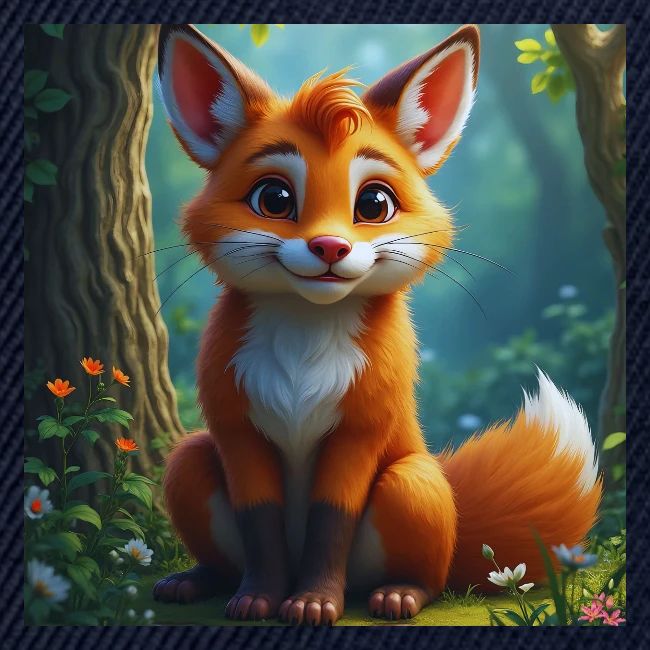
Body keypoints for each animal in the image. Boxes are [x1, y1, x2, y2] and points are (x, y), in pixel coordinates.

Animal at [152, 23, 602, 625]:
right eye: (274, 198)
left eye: (374, 204)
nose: (329, 246)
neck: (304, 348)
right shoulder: (235, 427)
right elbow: (261, 522)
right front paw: (258, 599)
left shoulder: (361, 427)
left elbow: (330, 521)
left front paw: (314, 602)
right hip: (189, 460)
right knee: (219, 542)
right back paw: (198, 579)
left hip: (410, 484)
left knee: (429, 578)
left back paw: (398, 594)